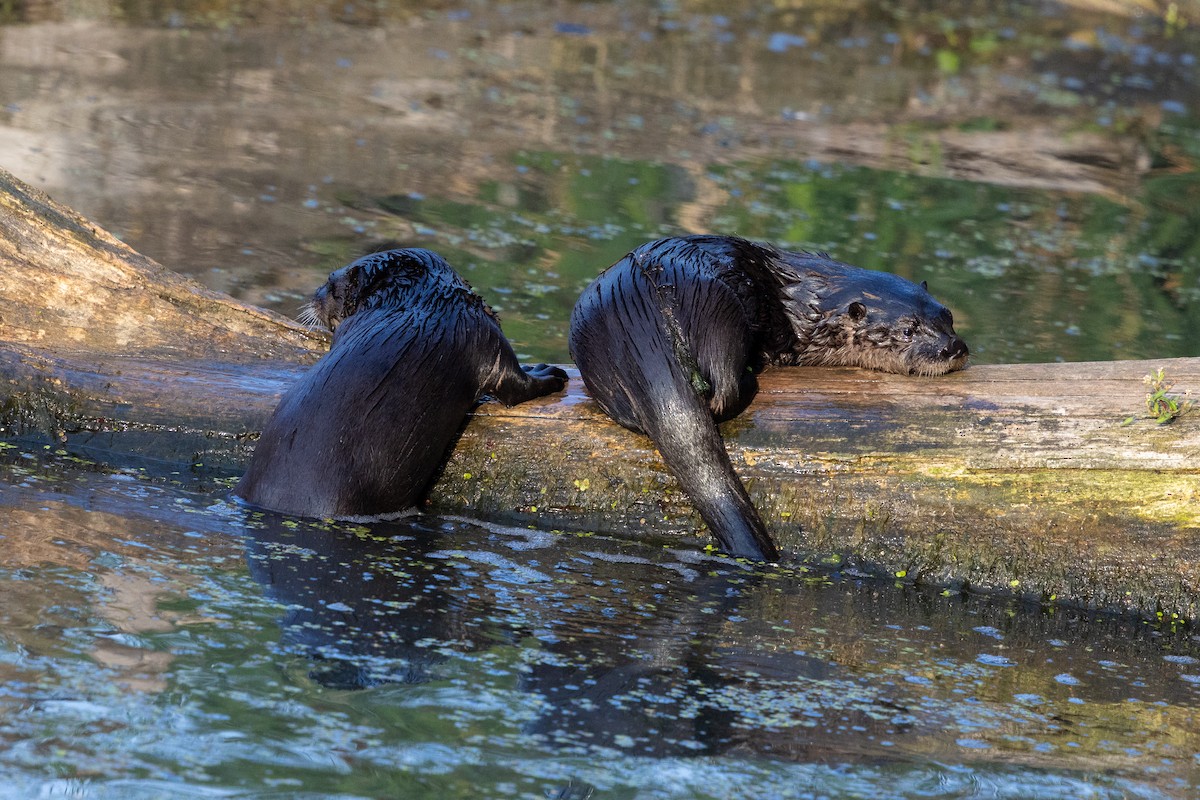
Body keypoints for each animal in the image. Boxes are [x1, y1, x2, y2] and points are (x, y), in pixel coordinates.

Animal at [235, 248, 568, 519]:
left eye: (330, 284)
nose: (313, 295)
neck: (422, 302)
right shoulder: (481, 331)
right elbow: (513, 384)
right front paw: (547, 372)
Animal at [568, 235, 968, 561]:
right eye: (908, 330)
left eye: (947, 316)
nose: (953, 347)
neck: (806, 303)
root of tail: (641, 320)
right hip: (720, 310)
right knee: (724, 390)